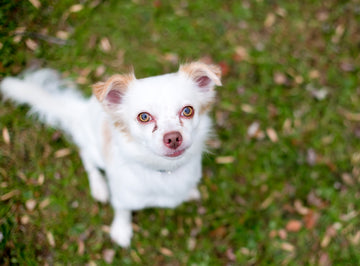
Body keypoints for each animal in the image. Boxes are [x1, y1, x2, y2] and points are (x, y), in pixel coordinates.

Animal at [0, 61, 222, 246]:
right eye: (144, 117)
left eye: (187, 111)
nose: (173, 138)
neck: (164, 170)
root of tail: (82, 110)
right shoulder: (122, 196)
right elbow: (122, 210)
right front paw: (121, 230)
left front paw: (190, 192)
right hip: (94, 150)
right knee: (86, 158)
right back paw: (99, 187)